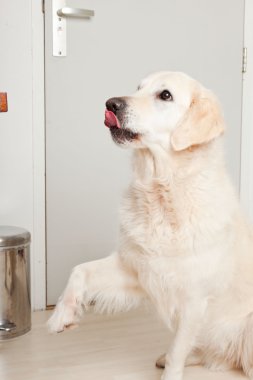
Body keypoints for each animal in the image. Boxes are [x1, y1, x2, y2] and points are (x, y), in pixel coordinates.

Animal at [47, 72, 253, 380]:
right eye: (138, 88)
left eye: (165, 95)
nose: (111, 103)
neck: (162, 191)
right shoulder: (138, 268)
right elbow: (80, 270)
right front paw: (63, 314)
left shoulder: (194, 299)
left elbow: (178, 350)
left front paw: (171, 372)